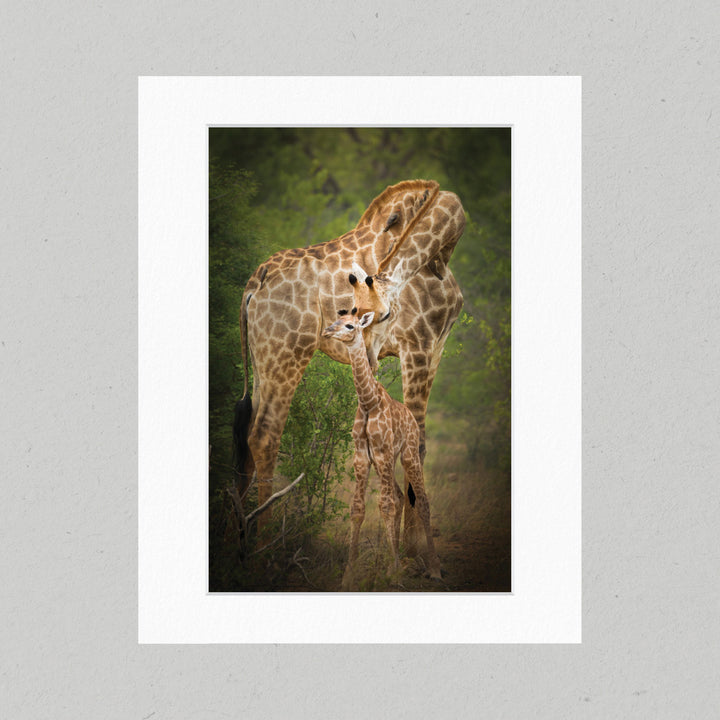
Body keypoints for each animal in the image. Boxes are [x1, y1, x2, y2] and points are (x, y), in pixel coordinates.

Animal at [233, 179, 465, 532]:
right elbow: (419, 445)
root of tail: (255, 281)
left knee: (246, 439)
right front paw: (413, 545)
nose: (367, 356)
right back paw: (266, 538)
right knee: (264, 436)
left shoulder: (436, 348)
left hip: (262, 362)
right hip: (288, 351)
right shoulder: (418, 346)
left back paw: (241, 537)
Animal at [321, 310, 441, 589]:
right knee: (398, 496)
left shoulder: (384, 453)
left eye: (350, 325)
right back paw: (393, 560)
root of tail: (411, 418)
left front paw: (394, 571)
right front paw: (350, 574)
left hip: (408, 454)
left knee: (421, 501)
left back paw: (434, 569)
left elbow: (385, 506)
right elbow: (358, 508)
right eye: (335, 321)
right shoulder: (362, 457)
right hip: (383, 463)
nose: (327, 331)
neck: (368, 402)